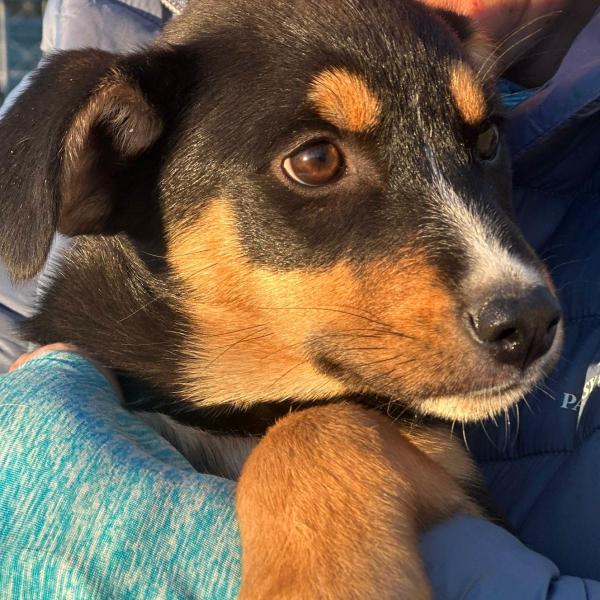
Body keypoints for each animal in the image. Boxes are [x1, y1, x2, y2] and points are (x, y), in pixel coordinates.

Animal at [0, 0, 563, 597]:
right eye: (316, 160)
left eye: (488, 142)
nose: (530, 323)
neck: (238, 397)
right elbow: (321, 422)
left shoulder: (464, 485)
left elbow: (314, 427)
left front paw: (320, 578)